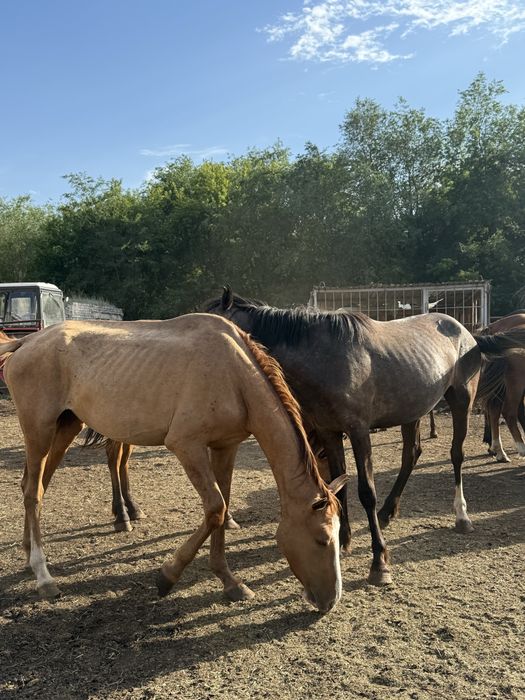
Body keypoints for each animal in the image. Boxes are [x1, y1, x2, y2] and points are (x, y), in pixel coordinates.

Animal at [0, 313, 346, 611]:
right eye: (322, 540)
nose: (330, 601)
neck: (233, 374)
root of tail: (27, 343)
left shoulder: (225, 447)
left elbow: (223, 509)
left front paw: (230, 582)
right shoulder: (186, 446)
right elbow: (215, 508)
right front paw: (167, 576)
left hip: (65, 427)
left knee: (36, 486)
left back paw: (29, 553)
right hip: (39, 430)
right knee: (32, 492)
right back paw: (43, 576)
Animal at [205, 288, 525, 585]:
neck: (325, 358)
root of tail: (469, 335)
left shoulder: (359, 432)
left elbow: (366, 492)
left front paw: (379, 563)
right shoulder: (330, 432)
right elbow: (340, 484)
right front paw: (342, 540)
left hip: (461, 401)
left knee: (456, 455)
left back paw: (461, 516)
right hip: (412, 411)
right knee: (411, 455)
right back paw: (388, 512)